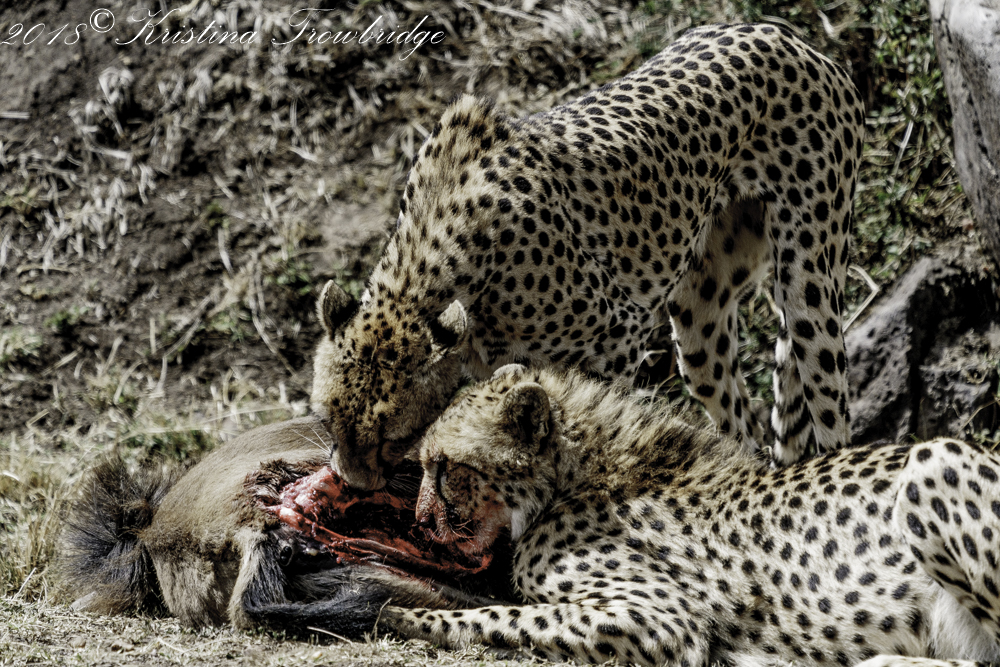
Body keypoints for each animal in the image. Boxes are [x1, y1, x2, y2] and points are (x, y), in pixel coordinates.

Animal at [311, 21, 867, 491]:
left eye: (393, 435)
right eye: (328, 423)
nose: (352, 485)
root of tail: (781, 33)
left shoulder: (617, 337)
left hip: (809, 288)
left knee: (830, 414)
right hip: (699, 322)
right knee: (741, 423)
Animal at [332, 364, 1000, 667]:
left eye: (444, 467)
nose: (421, 522)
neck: (576, 475)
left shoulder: (660, 621)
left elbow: (496, 617)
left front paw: (393, 612)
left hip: (934, 458)